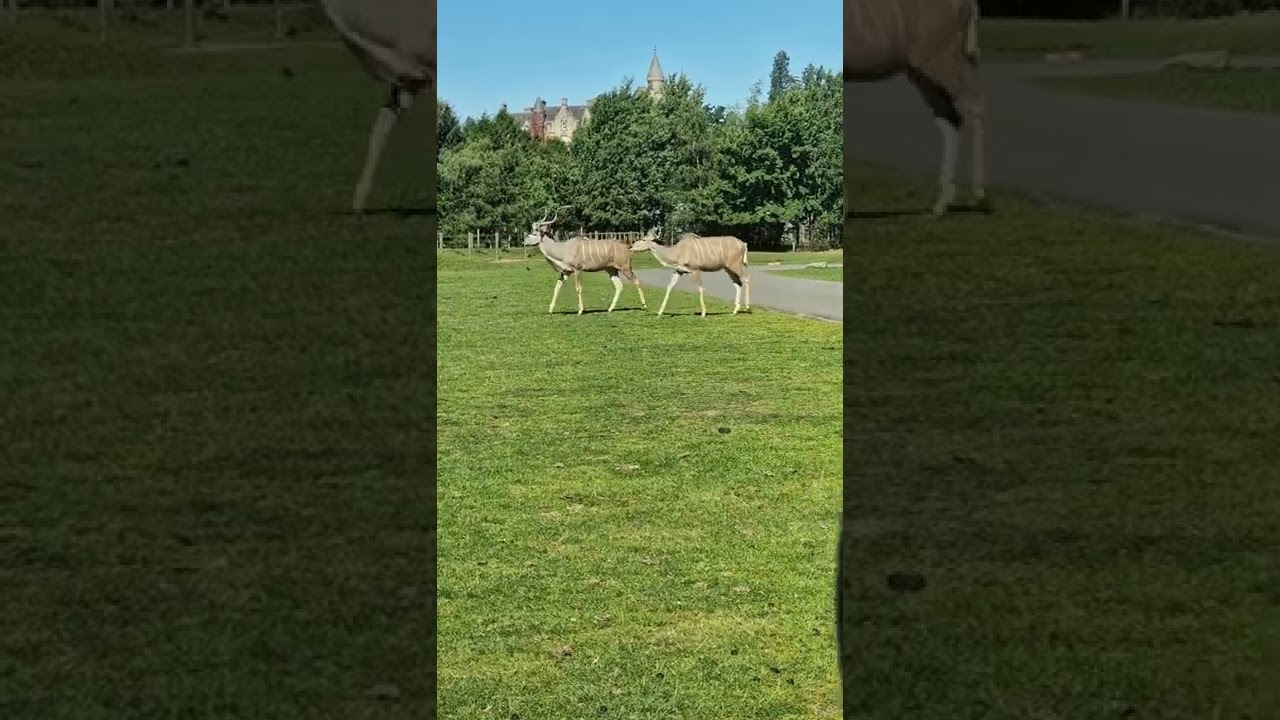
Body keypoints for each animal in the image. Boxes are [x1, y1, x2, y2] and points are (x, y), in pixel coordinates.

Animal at [845, 0, 986, 215]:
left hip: (941, 62)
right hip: (920, 73)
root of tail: (968, 4)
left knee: (975, 105)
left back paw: (977, 193)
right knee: (951, 119)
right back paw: (941, 204)